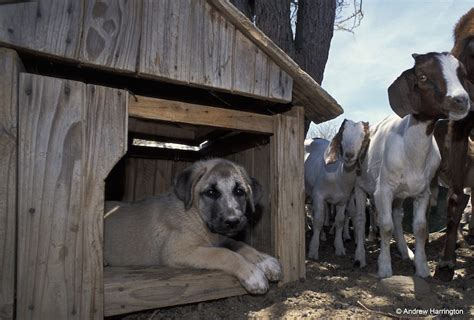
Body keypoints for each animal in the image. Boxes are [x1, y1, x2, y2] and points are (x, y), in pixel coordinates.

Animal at [304, 119, 370, 260]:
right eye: (342, 135)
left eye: (362, 136)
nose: (349, 155)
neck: (338, 175)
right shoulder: (318, 195)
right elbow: (318, 220)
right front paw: (313, 250)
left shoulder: (343, 200)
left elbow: (340, 220)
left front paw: (339, 247)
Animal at [354, 52, 472, 278]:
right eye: (423, 77)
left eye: (461, 73)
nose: (461, 100)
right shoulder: (383, 191)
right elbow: (385, 226)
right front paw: (384, 268)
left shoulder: (422, 192)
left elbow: (419, 228)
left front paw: (422, 267)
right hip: (359, 187)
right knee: (361, 219)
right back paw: (359, 257)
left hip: (401, 194)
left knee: (397, 217)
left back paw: (404, 251)